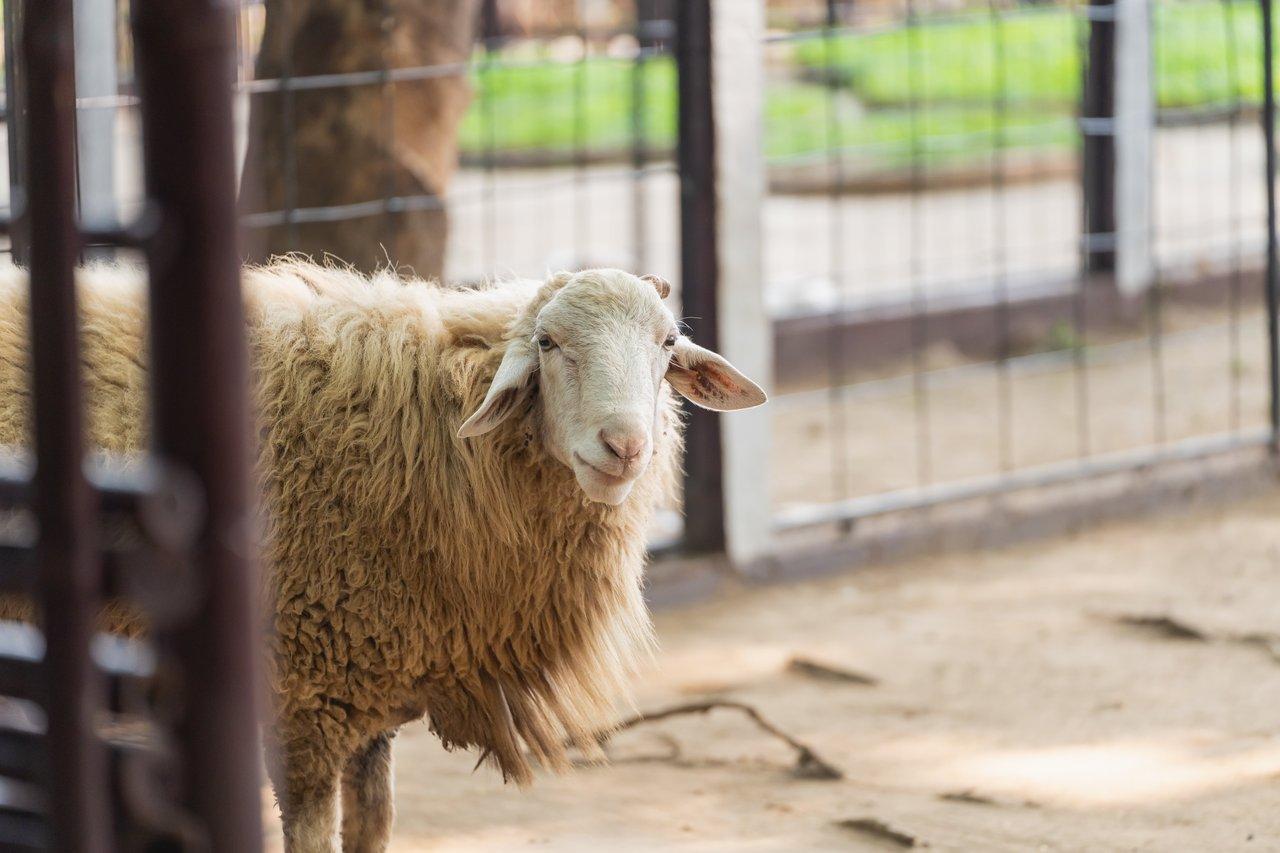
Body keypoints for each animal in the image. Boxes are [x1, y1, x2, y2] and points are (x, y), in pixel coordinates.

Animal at [0, 259, 766, 853]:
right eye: (548, 343)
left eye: (667, 344)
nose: (625, 447)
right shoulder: (302, 699)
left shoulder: (366, 689)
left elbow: (373, 832)